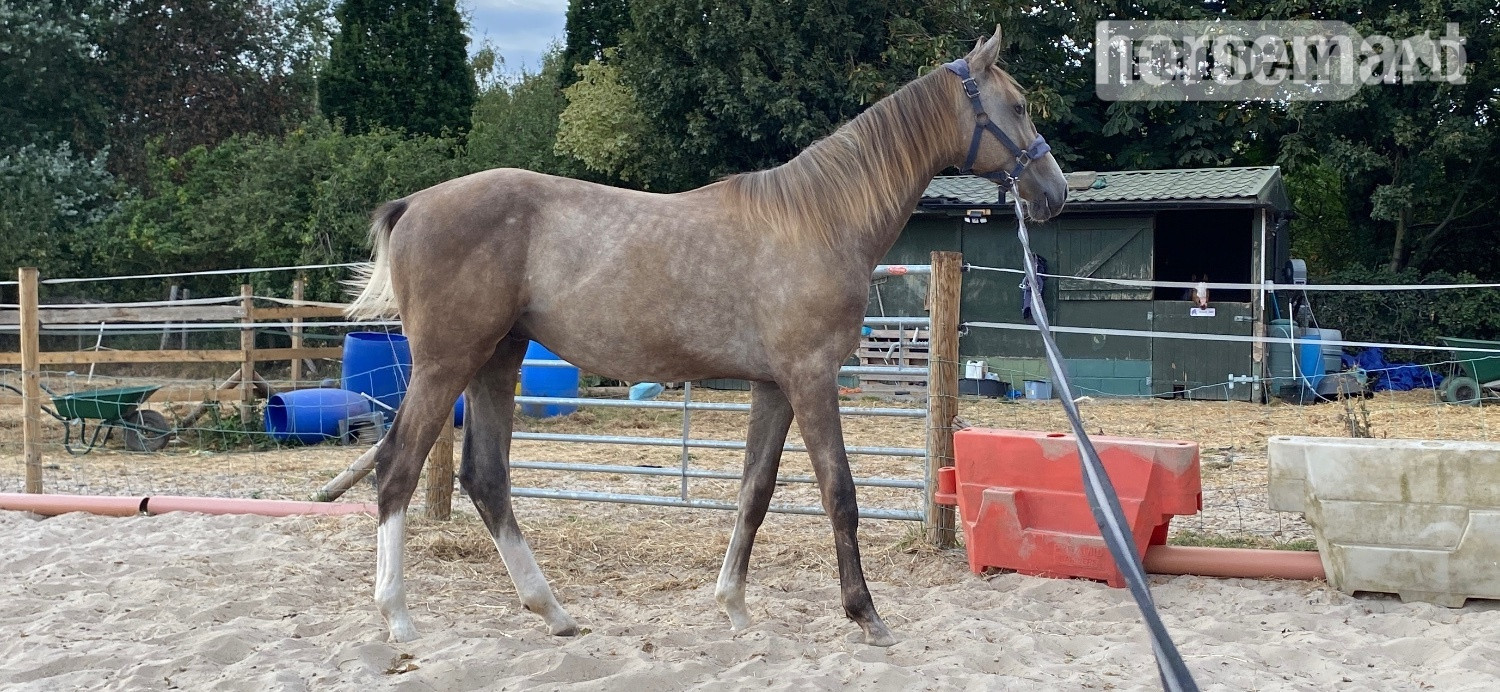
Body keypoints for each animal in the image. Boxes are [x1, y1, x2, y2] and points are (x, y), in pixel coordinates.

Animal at [345, 26, 1068, 647]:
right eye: (1017, 106)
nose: (1054, 192)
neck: (820, 218)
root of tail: (412, 205)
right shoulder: (811, 378)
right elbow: (839, 493)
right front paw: (866, 615)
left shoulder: (775, 387)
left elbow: (755, 491)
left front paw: (735, 606)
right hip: (447, 364)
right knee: (397, 468)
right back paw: (397, 617)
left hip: (498, 358)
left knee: (487, 477)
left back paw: (552, 611)